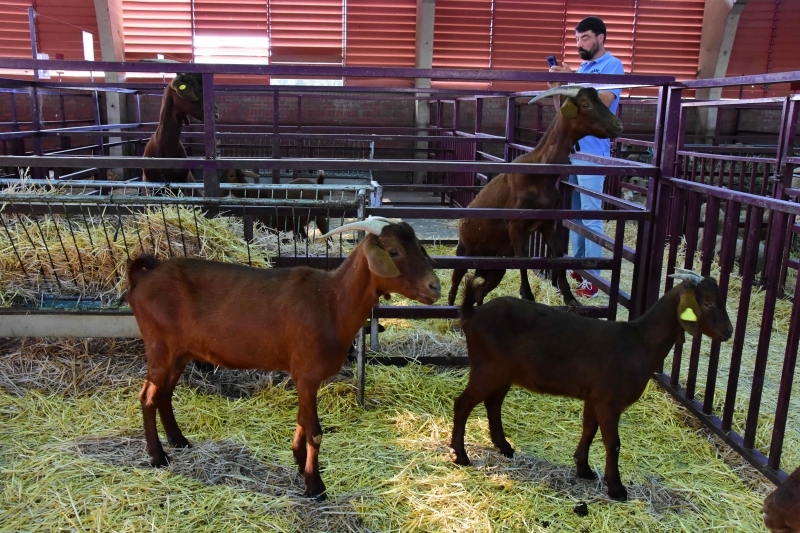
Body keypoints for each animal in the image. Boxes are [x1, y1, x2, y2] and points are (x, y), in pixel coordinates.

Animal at [126, 216, 441, 500]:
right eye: (393, 251)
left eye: (419, 246)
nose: (435, 287)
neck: (331, 302)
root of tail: (145, 276)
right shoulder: (308, 375)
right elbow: (314, 431)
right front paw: (315, 487)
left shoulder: (303, 377)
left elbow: (302, 420)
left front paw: (300, 464)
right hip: (160, 347)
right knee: (148, 397)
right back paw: (158, 456)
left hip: (179, 353)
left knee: (164, 394)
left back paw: (179, 441)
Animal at [448, 85, 624, 307]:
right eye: (585, 105)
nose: (618, 125)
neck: (540, 174)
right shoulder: (515, 226)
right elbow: (524, 259)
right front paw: (527, 295)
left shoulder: (547, 222)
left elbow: (557, 255)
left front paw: (570, 298)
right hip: (465, 251)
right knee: (455, 281)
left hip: (495, 265)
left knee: (480, 289)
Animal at [450, 268, 733, 501]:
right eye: (707, 303)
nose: (728, 332)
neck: (639, 342)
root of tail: (472, 315)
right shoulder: (610, 400)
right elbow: (613, 442)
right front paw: (616, 488)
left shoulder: (595, 397)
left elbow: (589, 429)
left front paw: (583, 468)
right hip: (487, 369)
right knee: (463, 404)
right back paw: (462, 456)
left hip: (503, 373)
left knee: (493, 403)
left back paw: (504, 446)